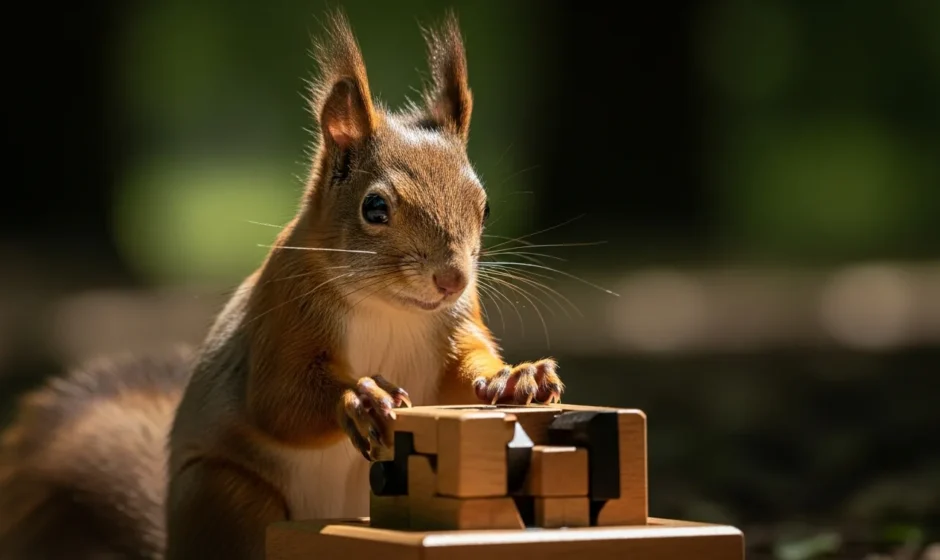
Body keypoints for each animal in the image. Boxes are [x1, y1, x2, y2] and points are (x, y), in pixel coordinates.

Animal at [0, 10, 564, 560]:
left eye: (485, 207)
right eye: (375, 207)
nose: (452, 279)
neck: (391, 309)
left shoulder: (456, 324)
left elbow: (462, 372)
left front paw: (516, 377)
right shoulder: (283, 313)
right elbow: (279, 400)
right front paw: (360, 397)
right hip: (229, 498)